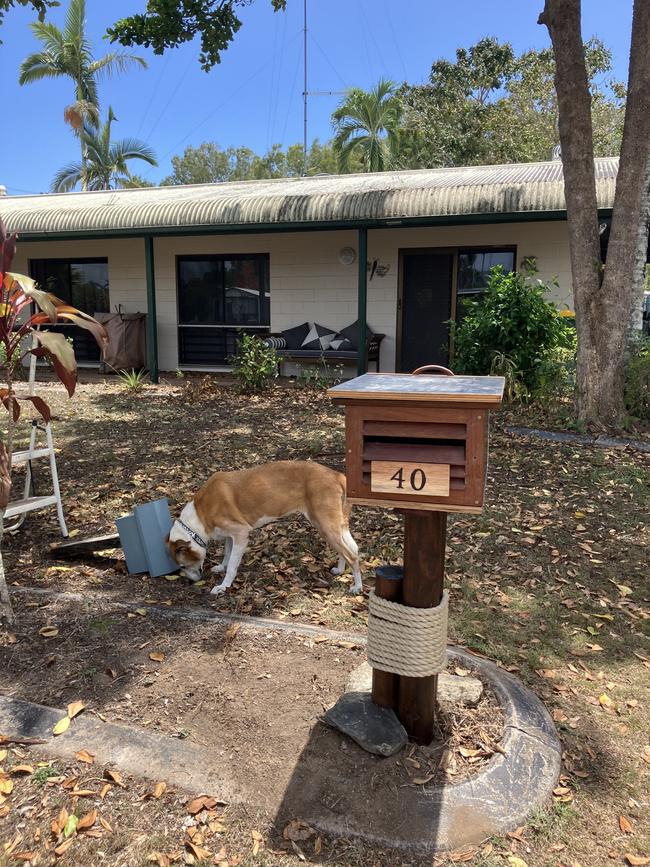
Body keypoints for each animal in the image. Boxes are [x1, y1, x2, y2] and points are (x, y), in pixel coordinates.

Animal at [165, 462, 362, 596]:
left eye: (183, 565)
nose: (190, 582)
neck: (200, 514)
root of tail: (337, 475)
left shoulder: (241, 533)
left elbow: (232, 567)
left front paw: (223, 586)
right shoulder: (230, 536)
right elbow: (227, 554)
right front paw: (220, 567)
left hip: (325, 526)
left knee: (351, 556)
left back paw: (357, 587)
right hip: (335, 526)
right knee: (351, 549)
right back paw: (340, 570)